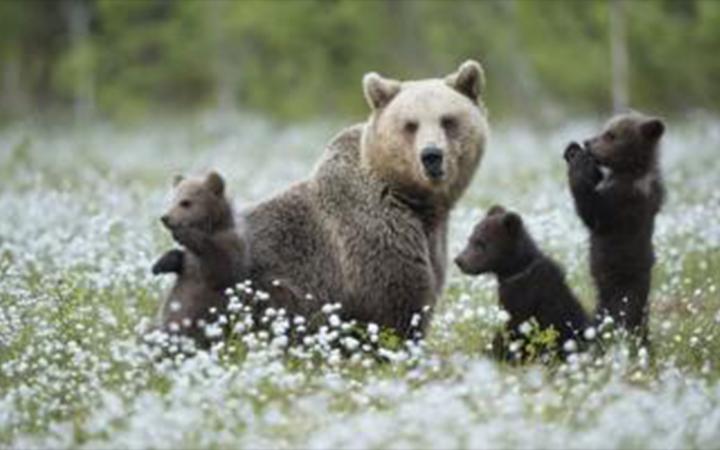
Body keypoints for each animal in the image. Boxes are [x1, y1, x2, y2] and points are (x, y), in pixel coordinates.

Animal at [150, 171, 246, 348]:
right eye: (172, 200)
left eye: (186, 202)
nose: (165, 218)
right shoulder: (188, 262)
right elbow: (179, 260)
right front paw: (159, 265)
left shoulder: (231, 247)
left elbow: (220, 269)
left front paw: (187, 234)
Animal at [238, 60, 490, 338]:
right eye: (411, 124)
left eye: (447, 120)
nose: (431, 155)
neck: (414, 201)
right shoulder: (374, 240)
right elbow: (396, 306)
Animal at [456, 205, 592, 358]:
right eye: (470, 239)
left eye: (481, 243)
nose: (459, 260)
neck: (516, 270)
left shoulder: (526, 299)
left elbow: (510, 329)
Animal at [564, 111, 668, 342]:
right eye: (605, 129)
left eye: (611, 135)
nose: (588, 142)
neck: (630, 169)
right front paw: (573, 150)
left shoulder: (625, 202)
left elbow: (592, 213)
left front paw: (579, 164)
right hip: (603, 301)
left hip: (623, 291)